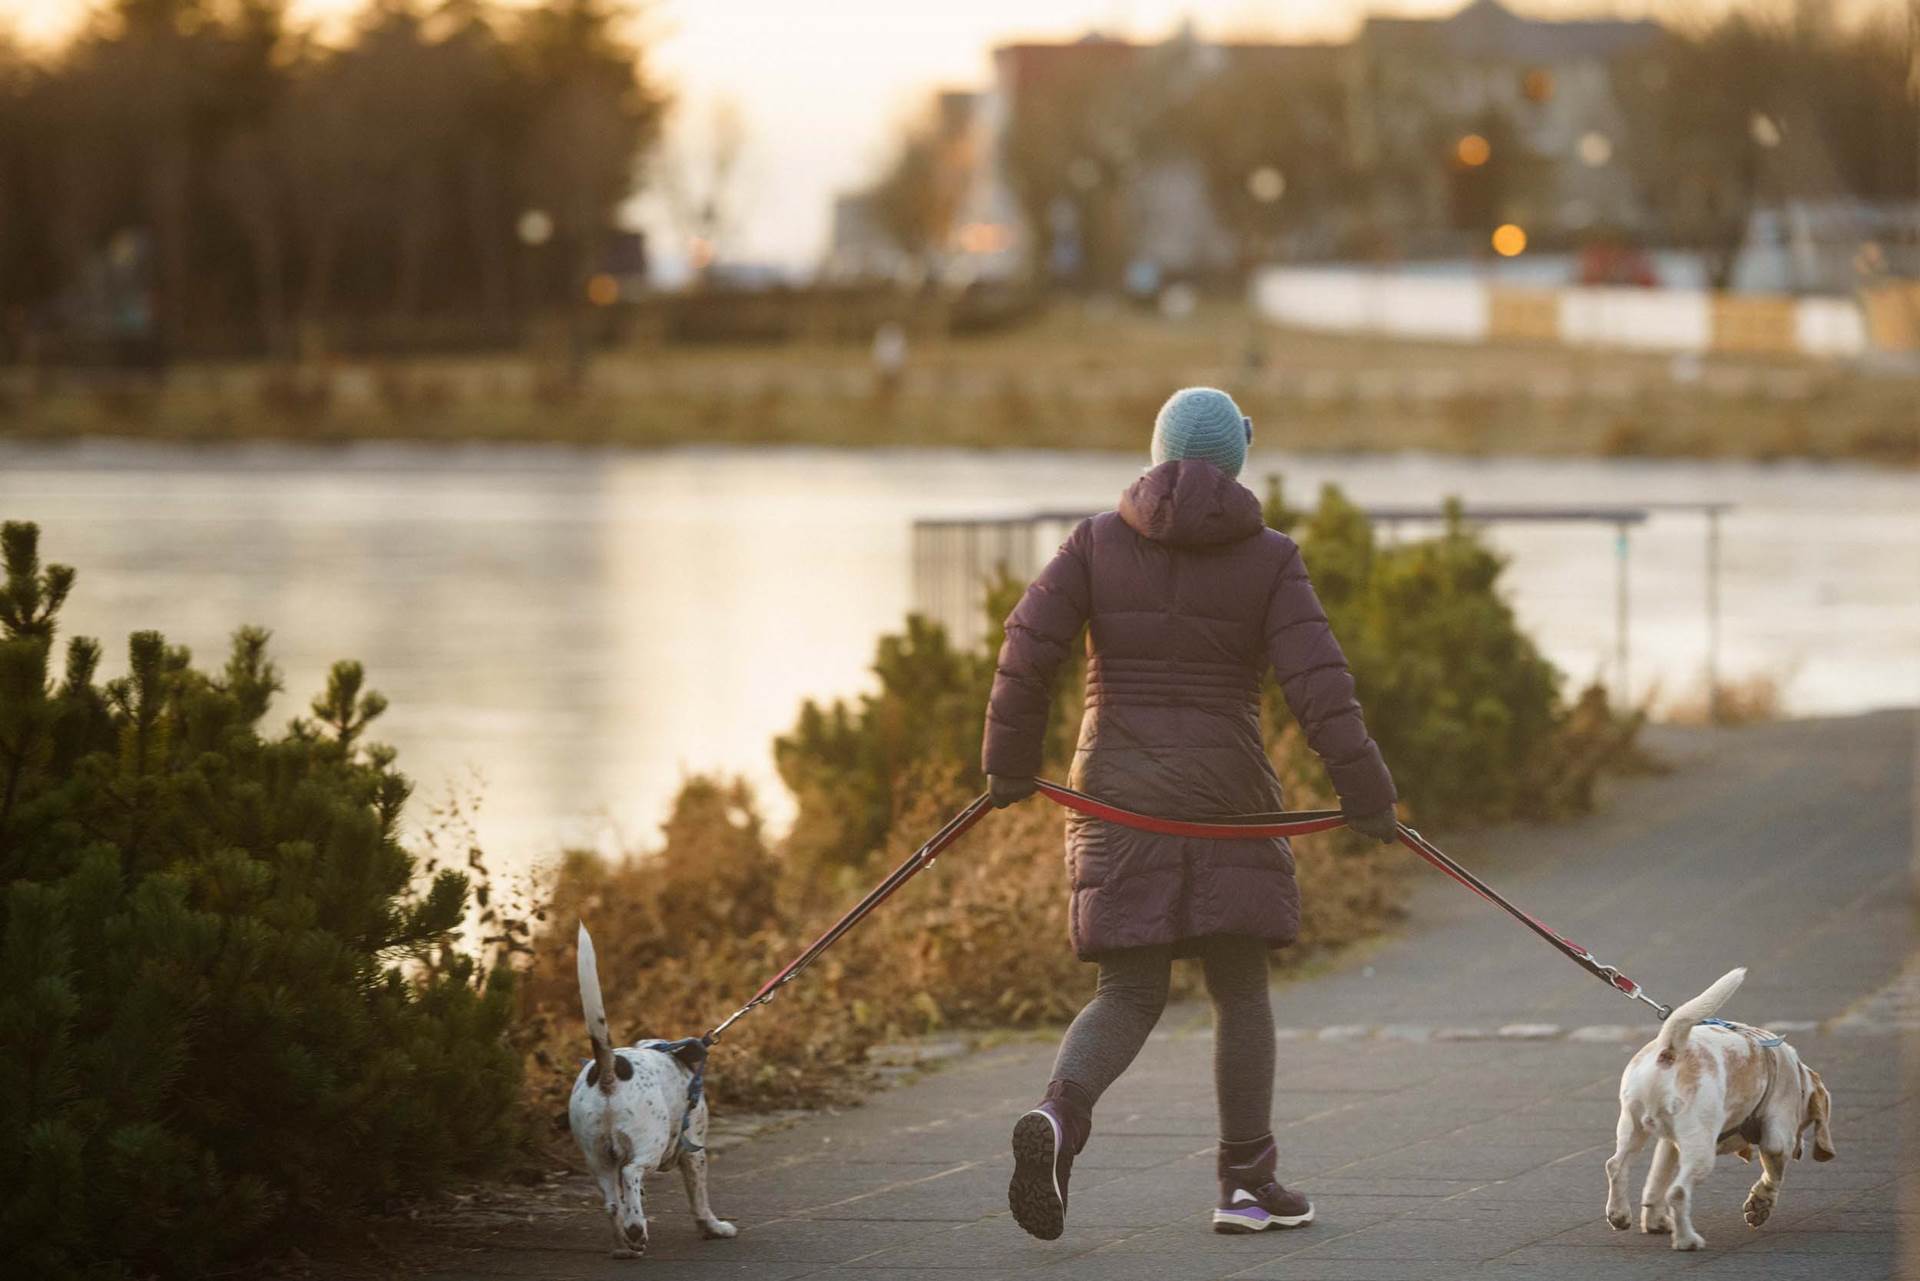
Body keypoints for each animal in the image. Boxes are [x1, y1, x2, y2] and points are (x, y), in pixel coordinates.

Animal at [564, 925, 737, 1259]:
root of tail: (607, 1069)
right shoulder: (694, 1150)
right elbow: (699, 1199)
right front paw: (714, 1228)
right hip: (650, 1145)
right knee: (631, 1173)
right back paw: (634, 1230)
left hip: (596, 1157)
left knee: (613, 1202)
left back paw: (627, 1243)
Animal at [1597, 971, 1835, 1252]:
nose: (1800, 1152)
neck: (1797, 1076)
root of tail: (1670, 1050)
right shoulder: (1778, 1139)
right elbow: (1774, 1175)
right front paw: (1760, 1206)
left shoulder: (1669, 1145)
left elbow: (1656, 1181)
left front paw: (1655, 1221)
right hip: (1702, 1149)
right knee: (1678, 1192)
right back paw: (1687, 1240)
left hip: (1633, 1128)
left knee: (1616, 1166)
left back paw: (1619, 1215)